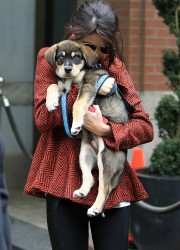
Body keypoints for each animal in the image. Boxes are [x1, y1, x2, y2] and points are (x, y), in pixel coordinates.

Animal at [45, 40, 129, 217]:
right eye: (60, 57)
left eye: (76, 57)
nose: (67, 69)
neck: (72, 79)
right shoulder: (64, 87)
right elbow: (52, 85)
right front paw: (51, 103)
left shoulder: (88, 86)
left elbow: (77, 104)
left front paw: (76, 124)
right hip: (84, 154)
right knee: (90, 178)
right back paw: (82, 192)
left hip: (106, 158)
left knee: (105, 187)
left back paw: (95, 209)